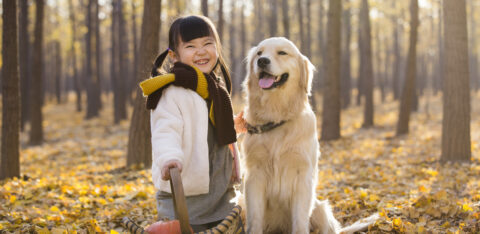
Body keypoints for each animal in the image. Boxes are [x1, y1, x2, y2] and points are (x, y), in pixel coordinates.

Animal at [242, 37, 376, 233]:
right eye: (259, 53)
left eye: (282, 53)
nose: (262, 61)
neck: (276, 116)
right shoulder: (254, 175)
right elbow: (255, 219)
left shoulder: (302, 175)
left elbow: (300, 220)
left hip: (320, 208)